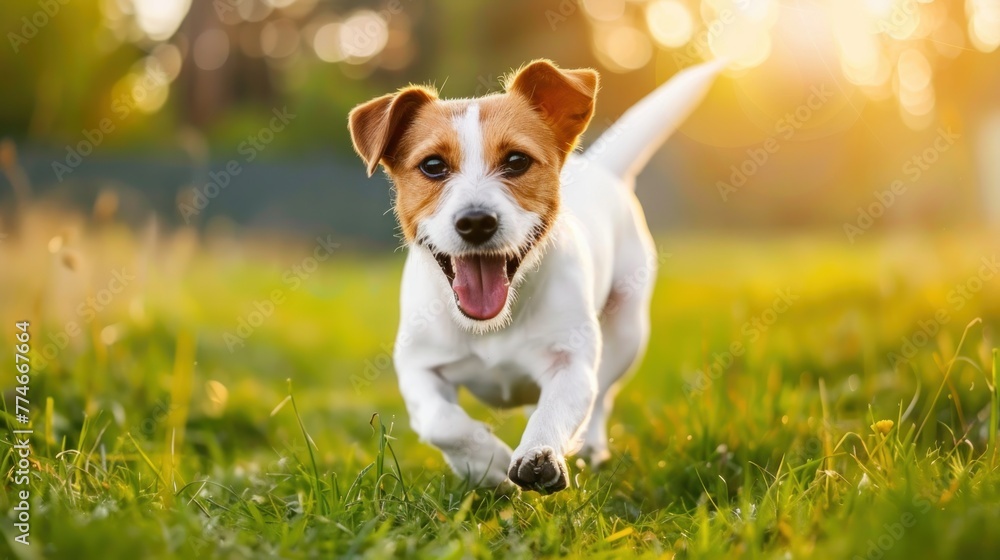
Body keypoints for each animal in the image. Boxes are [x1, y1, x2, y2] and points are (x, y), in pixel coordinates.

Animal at [348, 59, 724, 492]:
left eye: (516, 161)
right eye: (432, 166)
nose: (476, 222)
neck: (496, 322)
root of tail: (598, 165)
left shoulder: (571, 362)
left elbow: (558, 407)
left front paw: (538, 453)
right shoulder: (418, 368)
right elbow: (443, 423)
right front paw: (486, 461)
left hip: (628, 332)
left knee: (602, 395)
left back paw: (590, 446)